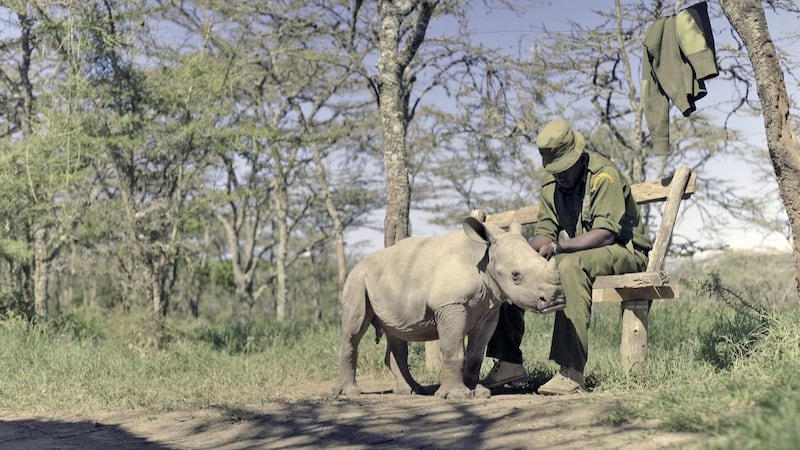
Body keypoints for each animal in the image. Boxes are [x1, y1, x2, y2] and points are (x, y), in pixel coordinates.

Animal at [333, 217, 565, 399]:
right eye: (516, 275)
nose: (556, 299)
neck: (484, 256)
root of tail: (360, 262)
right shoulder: (451, 305)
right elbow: (453, 350)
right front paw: (456, 395)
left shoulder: (489, 310)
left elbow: (475, 354)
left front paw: (478, 392)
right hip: (357, 278)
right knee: (354, 329)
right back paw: (349, 393)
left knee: (396, 334)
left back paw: (413, 390)